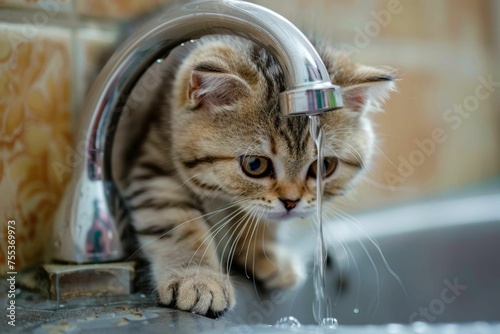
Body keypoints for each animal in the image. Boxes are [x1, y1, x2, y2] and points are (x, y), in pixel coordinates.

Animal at [115, 34, 396, 318]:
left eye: (323, 165)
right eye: (254, 164)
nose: (291, 202)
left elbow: (262, 218)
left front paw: (264, 254)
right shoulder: (155, 170)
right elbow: (177, 226)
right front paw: (197, 278)